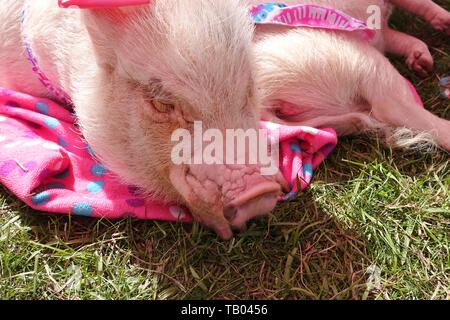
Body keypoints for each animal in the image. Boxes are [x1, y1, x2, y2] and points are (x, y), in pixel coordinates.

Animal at [250, 0, 450, 151]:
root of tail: (262, 102)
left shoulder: (381, 32)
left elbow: (398, 37)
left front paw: (421, 60)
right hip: (363, 64)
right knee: (395, 108)